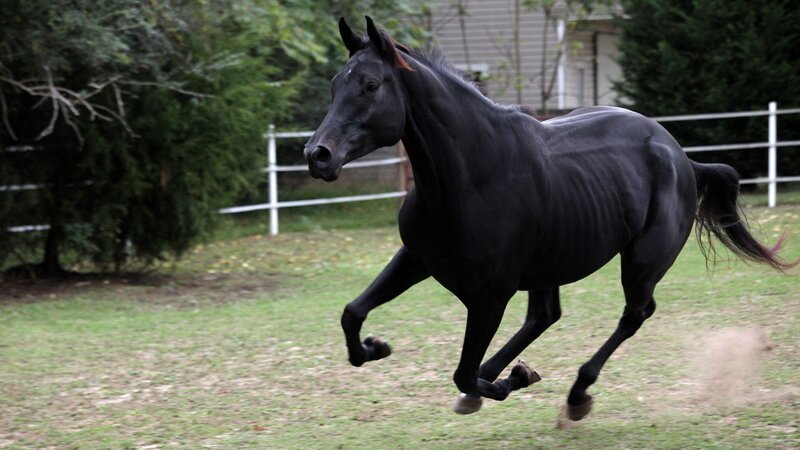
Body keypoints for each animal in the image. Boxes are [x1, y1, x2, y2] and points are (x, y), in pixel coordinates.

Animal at [303, 16, 796, 421]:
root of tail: (681, 157)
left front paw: (510, 381)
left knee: (634, 314)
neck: (472, 174)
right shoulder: (417, 258)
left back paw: (575, 394)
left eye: (370, 85)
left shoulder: (489, 295)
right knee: (546, 316)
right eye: (334, 84)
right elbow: (352, 313)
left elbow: (462, 371)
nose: (317, 155)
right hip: (551, 262)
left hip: (641, 262)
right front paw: (375, 347)